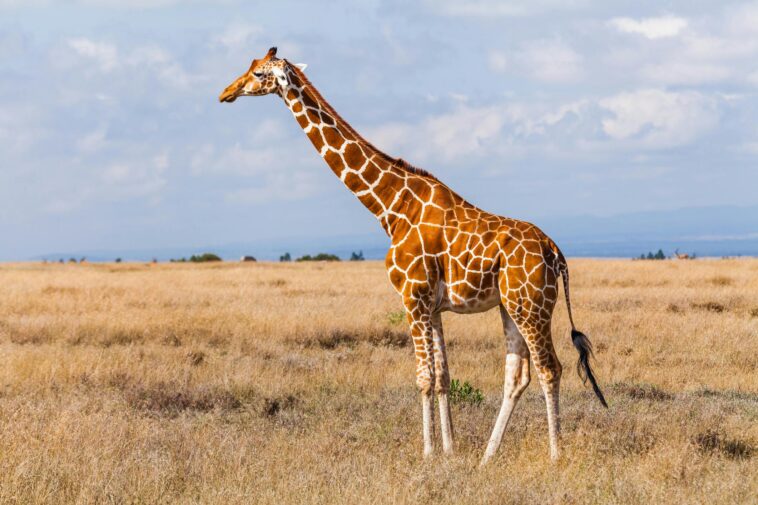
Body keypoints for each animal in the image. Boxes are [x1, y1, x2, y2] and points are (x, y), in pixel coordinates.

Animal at [219, 47, 608, 463]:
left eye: (258, 74)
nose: (226, 92)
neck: (390, 207)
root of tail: (556, 253)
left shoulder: (412, 297)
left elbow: (423, 378)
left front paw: (428, 453)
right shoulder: (432, 306)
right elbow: (443, 378)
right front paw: (450, 450)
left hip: (532, 306)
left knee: (551, 369)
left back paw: (555, 454)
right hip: (511, 306)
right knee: (517, 376)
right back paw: (487, 456)